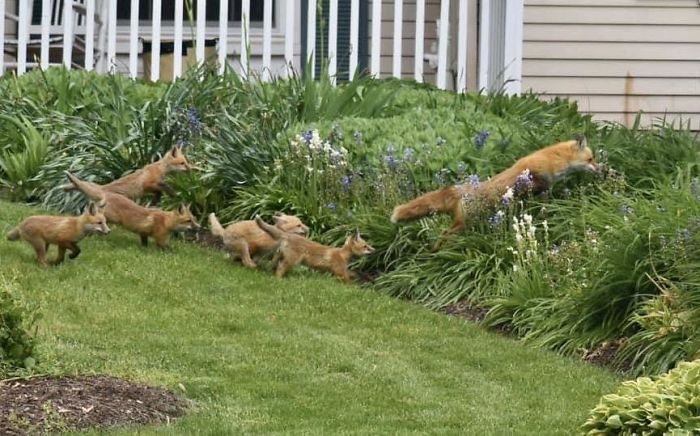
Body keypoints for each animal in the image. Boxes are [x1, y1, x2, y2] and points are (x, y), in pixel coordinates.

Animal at [62, 145, 192, 204]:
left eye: (186, 162)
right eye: (182, 163)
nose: (190, 169)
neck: (160, 169)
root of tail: (103, 188)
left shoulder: (150, 188)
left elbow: (159, 191)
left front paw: (157, 200)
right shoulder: (147, 184)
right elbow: (163, 187)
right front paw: (172, 194)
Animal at [64, 172, 200, 248]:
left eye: (194, 219)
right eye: (189, 221)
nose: (200, 227)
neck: (166, 221)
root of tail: (106, 191)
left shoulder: (143, 232)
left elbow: (144, 242)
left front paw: (144, 249)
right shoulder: (160, 237)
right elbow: (165, 247)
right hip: (111, 217)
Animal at [390, 136, 599, 240]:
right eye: (590, 159)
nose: (600, 168)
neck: (552, 161)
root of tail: (459, 190)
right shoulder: (537, 182)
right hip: (464, 223)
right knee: (444, 236)